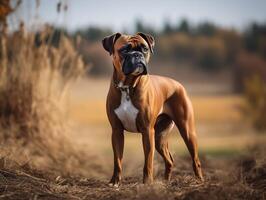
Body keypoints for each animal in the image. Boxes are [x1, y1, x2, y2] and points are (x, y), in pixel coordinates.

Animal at [102, 32, 204, 186]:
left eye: (144, 49)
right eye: (124, 50)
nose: (137, 55)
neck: (127, 87)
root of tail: (177, 84)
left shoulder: (147, 131)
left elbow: (148, 162)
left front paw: (148, 183)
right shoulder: (117, 131)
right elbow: (117, 160)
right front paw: (115, 181)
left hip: (187, 131)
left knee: (195, 160)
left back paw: (199, 181)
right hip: (159, 138)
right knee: (169, 160)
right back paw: (166, 182)